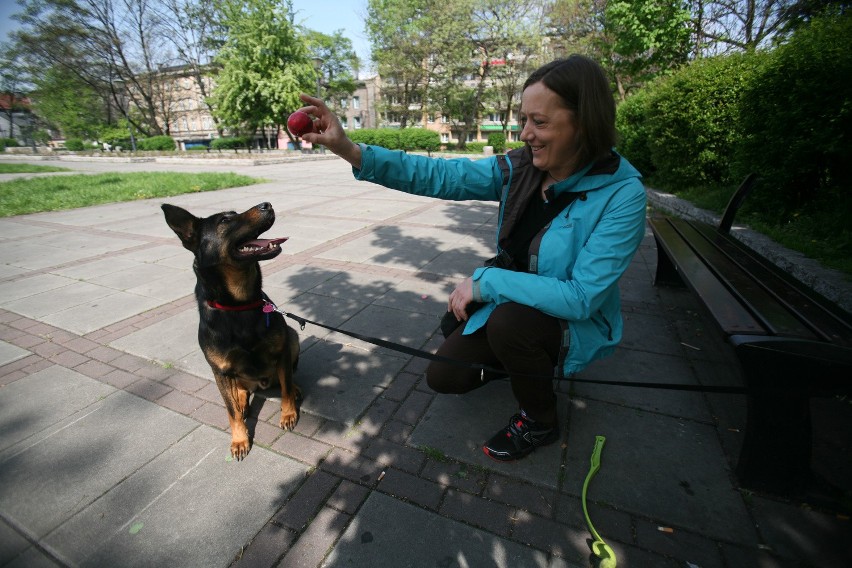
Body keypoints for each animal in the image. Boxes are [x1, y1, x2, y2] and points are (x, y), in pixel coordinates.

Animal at [162, 202, 300, 460]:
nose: (267, 204)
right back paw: (243, 400)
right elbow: (230, 409)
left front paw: (288, 414)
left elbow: (285, 388)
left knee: (286, 377)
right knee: (239, 392)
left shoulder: (281, 350)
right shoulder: (220, 371)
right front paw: (239, 439)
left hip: (293, 337)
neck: (239, 304)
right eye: (225, 220)